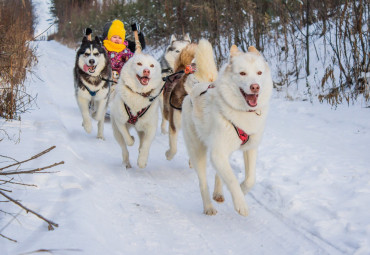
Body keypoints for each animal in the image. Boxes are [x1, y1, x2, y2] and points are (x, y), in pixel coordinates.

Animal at [182, 45, 272, 215]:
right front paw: (241, 203)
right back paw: (209, 207)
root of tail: (195, 88)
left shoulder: (250, 149)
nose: (255, 87)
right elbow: (231, 179)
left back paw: (218, 192)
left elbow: (250, 179)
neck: (242, 112)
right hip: (198, 151)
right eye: (242, 73)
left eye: (259, 73)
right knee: (203, 182)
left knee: (219, 173)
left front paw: (242, 190)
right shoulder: (218, 153)